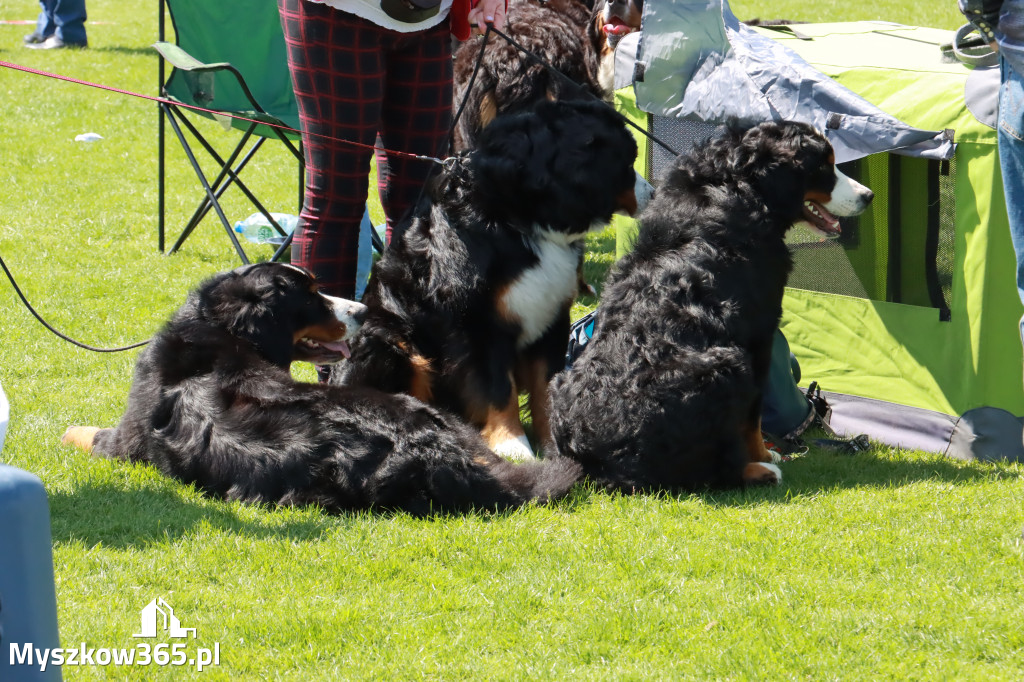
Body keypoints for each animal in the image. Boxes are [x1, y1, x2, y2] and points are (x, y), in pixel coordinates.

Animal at [59, 262, 581, 512]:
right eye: (311, 296)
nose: (363, 311)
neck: (217, 328)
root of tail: (424, 454)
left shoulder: (124, 440)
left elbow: (81, 432)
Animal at [333, 99, 638, 462]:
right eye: (628, 163)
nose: (651, 190)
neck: (514, 217)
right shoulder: (479, 324)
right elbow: (497, 389)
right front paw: (514, 447)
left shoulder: (552, 316)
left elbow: (545, 386)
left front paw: (553, 445)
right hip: (387, 338)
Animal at [548, 122, 876, 491]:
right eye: (824, 165)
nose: (868, 196)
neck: (738, 186)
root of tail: (591, 458)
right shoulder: (759, 335)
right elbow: (752, 418)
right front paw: (765, 453)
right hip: (728, 364)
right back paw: (758, 470)